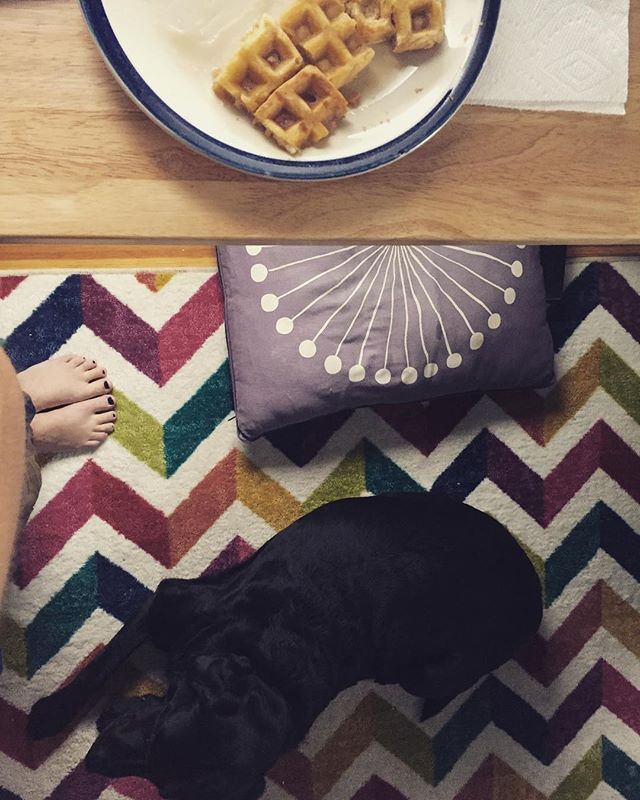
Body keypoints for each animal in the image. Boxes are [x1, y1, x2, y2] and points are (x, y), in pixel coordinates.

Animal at [28, 494, 540, 800]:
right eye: (157, 733)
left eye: (156, 775)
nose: (93, 762)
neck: (264, 669)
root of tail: (535, 597)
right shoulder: (167, 603)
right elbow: (101, 666)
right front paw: (50, 715)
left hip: (427, 672)